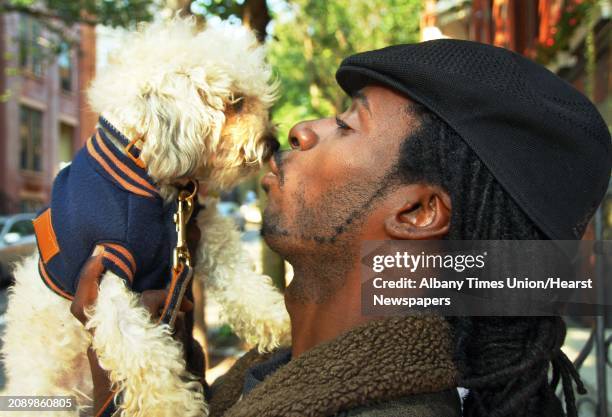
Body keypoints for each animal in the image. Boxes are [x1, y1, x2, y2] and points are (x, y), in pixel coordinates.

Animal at [0, 17, 292, 414]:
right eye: (236, 101)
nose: (272, 144)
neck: (151, 187)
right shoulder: (105, 271)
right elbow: (143, 352)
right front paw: (172, 405)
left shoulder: (203, 231)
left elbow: (244, 284)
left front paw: (281, 320)